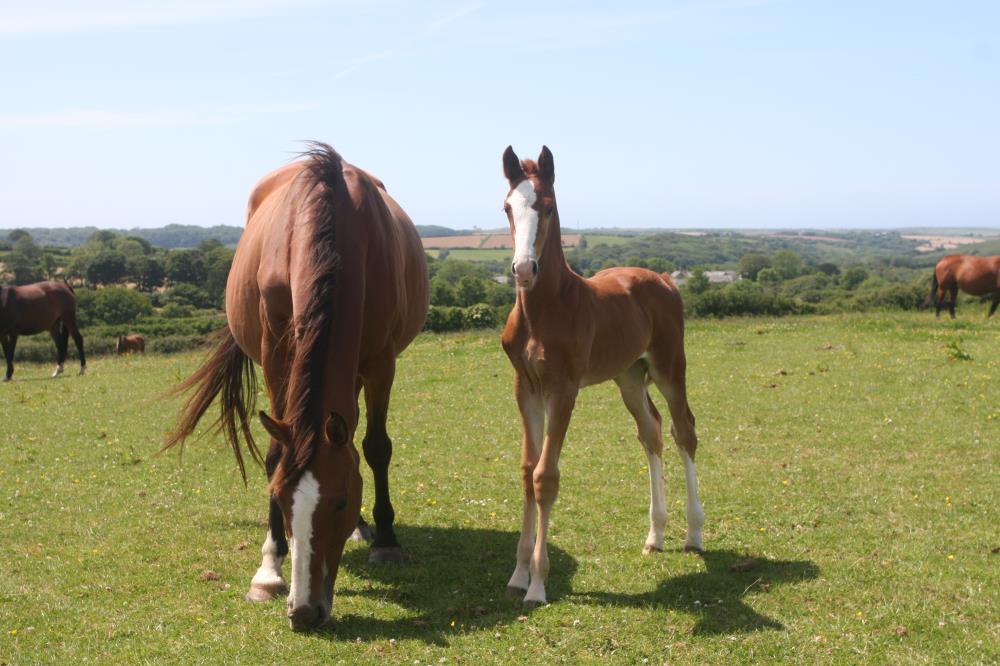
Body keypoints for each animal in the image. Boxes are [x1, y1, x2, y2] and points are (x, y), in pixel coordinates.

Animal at [165, 144, 430, 628]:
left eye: (341, 502)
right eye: (282, 498)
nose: (305, 612)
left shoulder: (382, 361)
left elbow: (376, 447)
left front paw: (386, 539)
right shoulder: (276, 352)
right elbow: (276, 454)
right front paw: (269, 569)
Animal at [498, 147, 704, 608]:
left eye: (548, 206)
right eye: (507, 207)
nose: (524, 269)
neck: (544, 309)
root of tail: (664, 278)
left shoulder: (564, 389)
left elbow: (545, 476)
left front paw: (538, 584)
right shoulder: (525, 388)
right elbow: (526, 469)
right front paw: (517, 574)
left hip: (669, 366)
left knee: (684, 431)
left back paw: (694, 534)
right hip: (629, 377)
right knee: (652, 432)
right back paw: (655, 535)